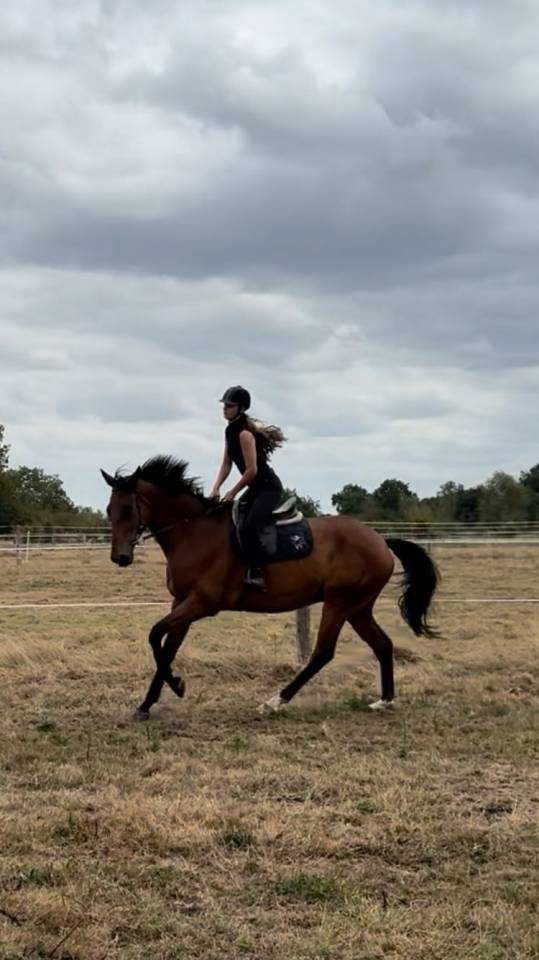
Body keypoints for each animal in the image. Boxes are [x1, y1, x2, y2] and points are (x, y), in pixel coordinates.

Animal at [101, 456, 439, 720]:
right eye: (108, 510)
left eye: (128, 510)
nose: (120, 558)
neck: (192, 531)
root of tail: (380, 540)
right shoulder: (182, 603)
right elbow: (167, 648)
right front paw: (148, 703)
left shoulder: (201, 603)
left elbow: (154, 635)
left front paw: (176, 685)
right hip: (358, 608)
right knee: (382, 644)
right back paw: (385, 701)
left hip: (339, 603)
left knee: (323, 653)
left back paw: (275, 701)